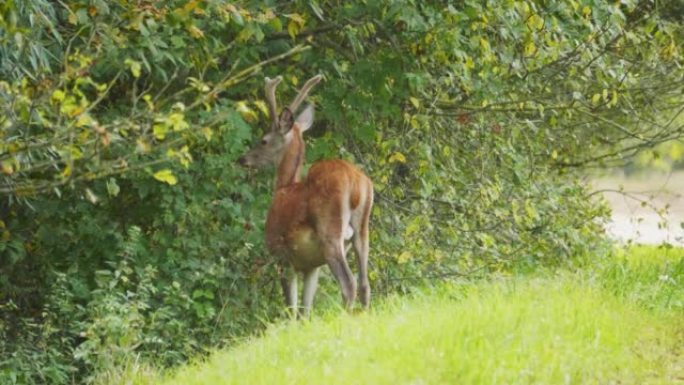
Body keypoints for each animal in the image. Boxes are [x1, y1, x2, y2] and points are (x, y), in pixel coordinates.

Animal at [236, 75, 374, 318]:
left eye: (264, 140)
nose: (243, 159)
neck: (284, 187)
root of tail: (357, 184)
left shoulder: (281, 253)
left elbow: (291, 309)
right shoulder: (312, 266)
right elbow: (305, 311)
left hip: (330, 232)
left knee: (349, 284)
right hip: (362, 229)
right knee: (365, 284)